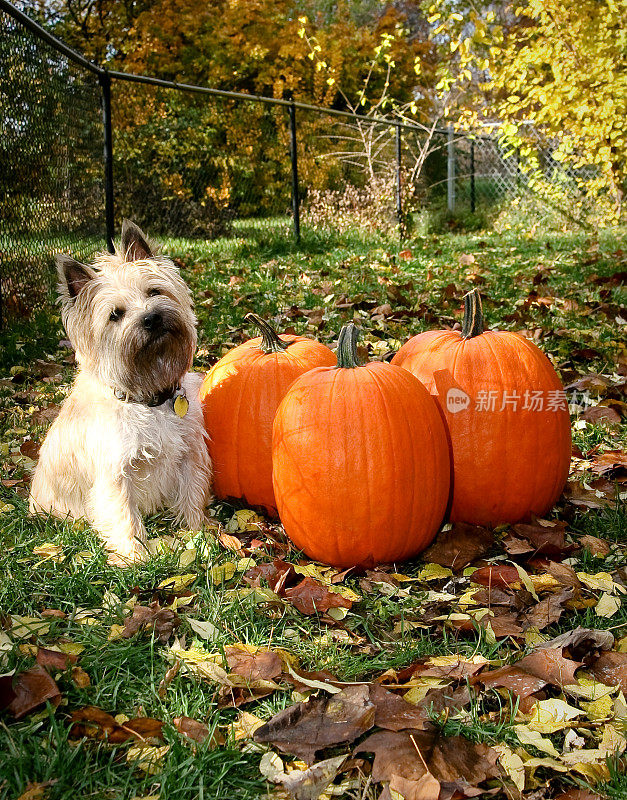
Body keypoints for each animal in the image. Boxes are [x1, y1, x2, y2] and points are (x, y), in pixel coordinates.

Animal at [30, 222, 213, 564]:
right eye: (115, 315)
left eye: (154, 292)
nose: (152, 318)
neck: (148, 395)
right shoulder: (116, 472)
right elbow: (123, 513)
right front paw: (134, 556)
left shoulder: (189, 455)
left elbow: (192, 494)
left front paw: (198, 533)